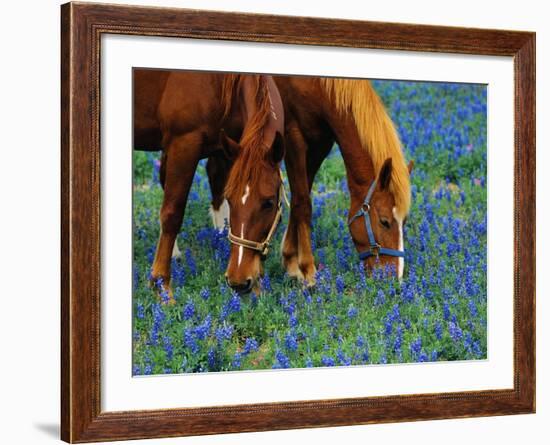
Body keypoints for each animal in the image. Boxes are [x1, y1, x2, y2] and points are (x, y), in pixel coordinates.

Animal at [135, 69, 284, 300]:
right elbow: (172, 213)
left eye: (269, 202)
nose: (239, 282)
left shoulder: (229, 147)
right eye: (231, 200)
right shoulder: (184, 144)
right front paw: (161, 285)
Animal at [208, 74, 414, 286]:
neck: (319, 84)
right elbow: (303, 203)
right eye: (384, 222)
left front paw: (291, 260)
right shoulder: (292, 135)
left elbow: (301, 197)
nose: (394, 278)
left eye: (404, 221)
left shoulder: (320, 141)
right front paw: (308, 270)